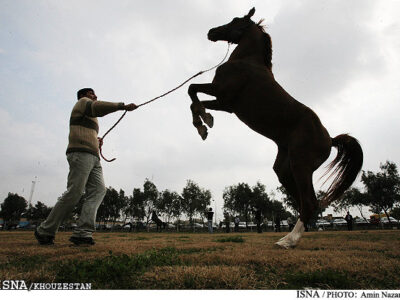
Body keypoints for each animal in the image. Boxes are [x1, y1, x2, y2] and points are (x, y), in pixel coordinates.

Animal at [188, 8, 362, 248]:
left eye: (235, 20)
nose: (212, 32)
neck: (246, 62)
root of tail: (330, 140)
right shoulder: (224, 103)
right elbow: (193, 99)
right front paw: (204, 124)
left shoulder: (222, 96)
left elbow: (192, 90)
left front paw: (204, 123)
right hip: (285, 170)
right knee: (307, 203)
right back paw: (290, 236)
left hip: (301, 166)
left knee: (309, 203)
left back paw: (288, 241)